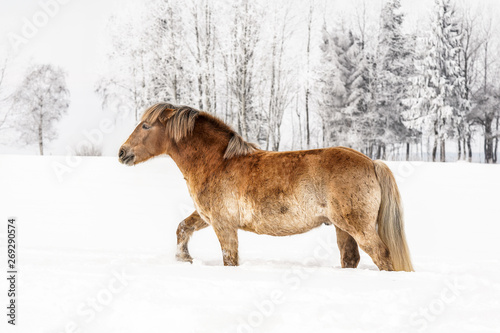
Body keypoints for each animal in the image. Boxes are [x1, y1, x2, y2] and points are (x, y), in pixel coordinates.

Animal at [118, 103, 414, 270]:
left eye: (145, 126)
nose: (122, 153)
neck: (217, 162)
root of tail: (371, 162)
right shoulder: (207, 217)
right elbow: (182, 228)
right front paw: (185, 259)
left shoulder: (223, 224)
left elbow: (230, 259)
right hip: (342, 228)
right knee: (350, 259)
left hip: (358, 227)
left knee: (382, 256)